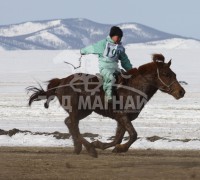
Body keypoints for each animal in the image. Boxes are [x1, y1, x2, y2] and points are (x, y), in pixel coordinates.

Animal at [27, 53, 186, 158]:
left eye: (174, 74)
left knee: (69, 123)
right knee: (73, 125)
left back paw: (78, 147)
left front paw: (113, 147)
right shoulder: (122, 115)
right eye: (166, 74)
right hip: (76, 109)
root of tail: (61, 82)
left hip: (84, 111)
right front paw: (105, 146)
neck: (134, 87)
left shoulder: (123, 119)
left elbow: (118, 138)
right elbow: (133, 135)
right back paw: (90, 149)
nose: (181, 92)